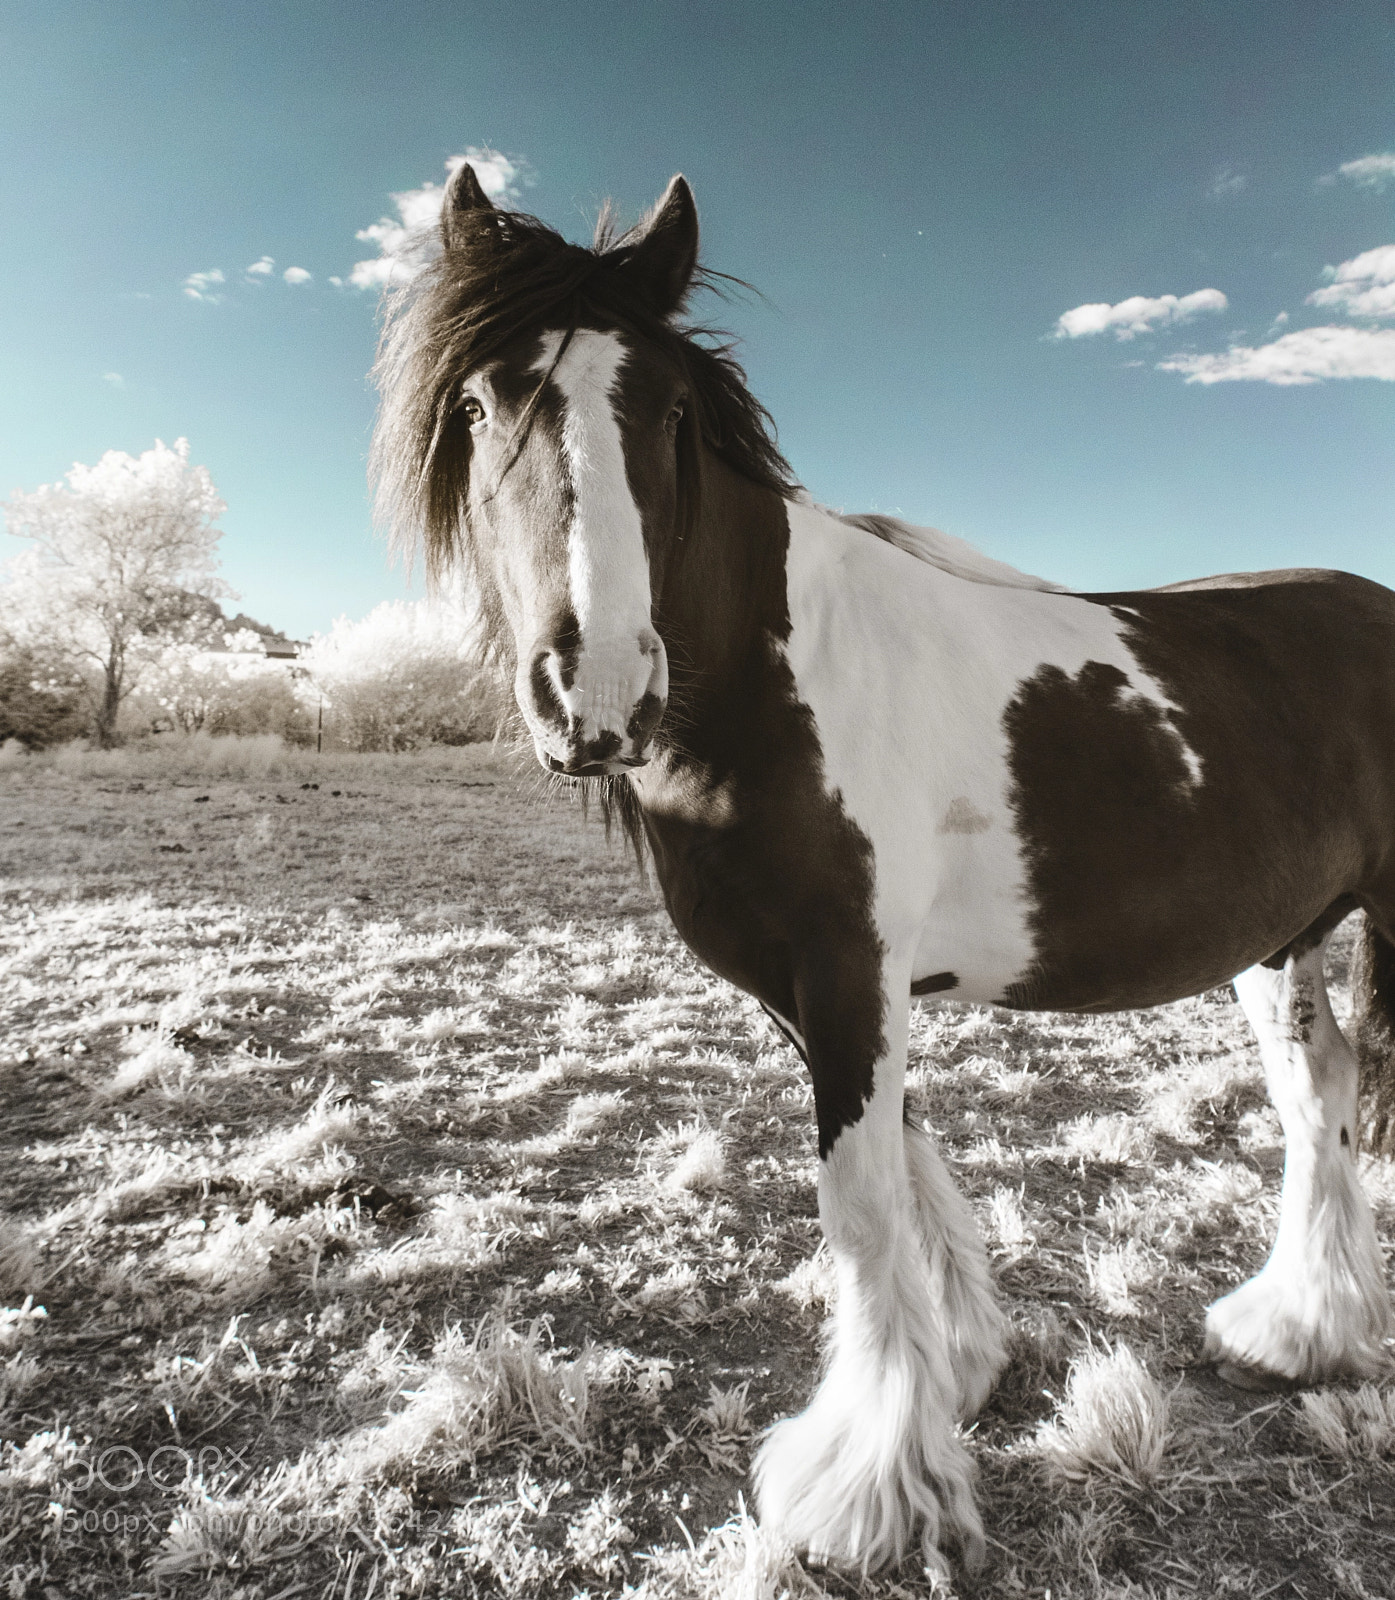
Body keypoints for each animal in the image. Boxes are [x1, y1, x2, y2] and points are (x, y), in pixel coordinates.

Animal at [370, 164, 1395, 1575]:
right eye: (479, 405)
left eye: (670, 411)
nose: (599, 691)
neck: (775, 683)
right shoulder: (826, 991)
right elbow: (907, 1171)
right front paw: (957, 1368)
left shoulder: (852, 971)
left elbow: (860, 1206)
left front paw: (864, 1492)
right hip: (1280, 934)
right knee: (1319, 1090)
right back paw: (1297, 1330)